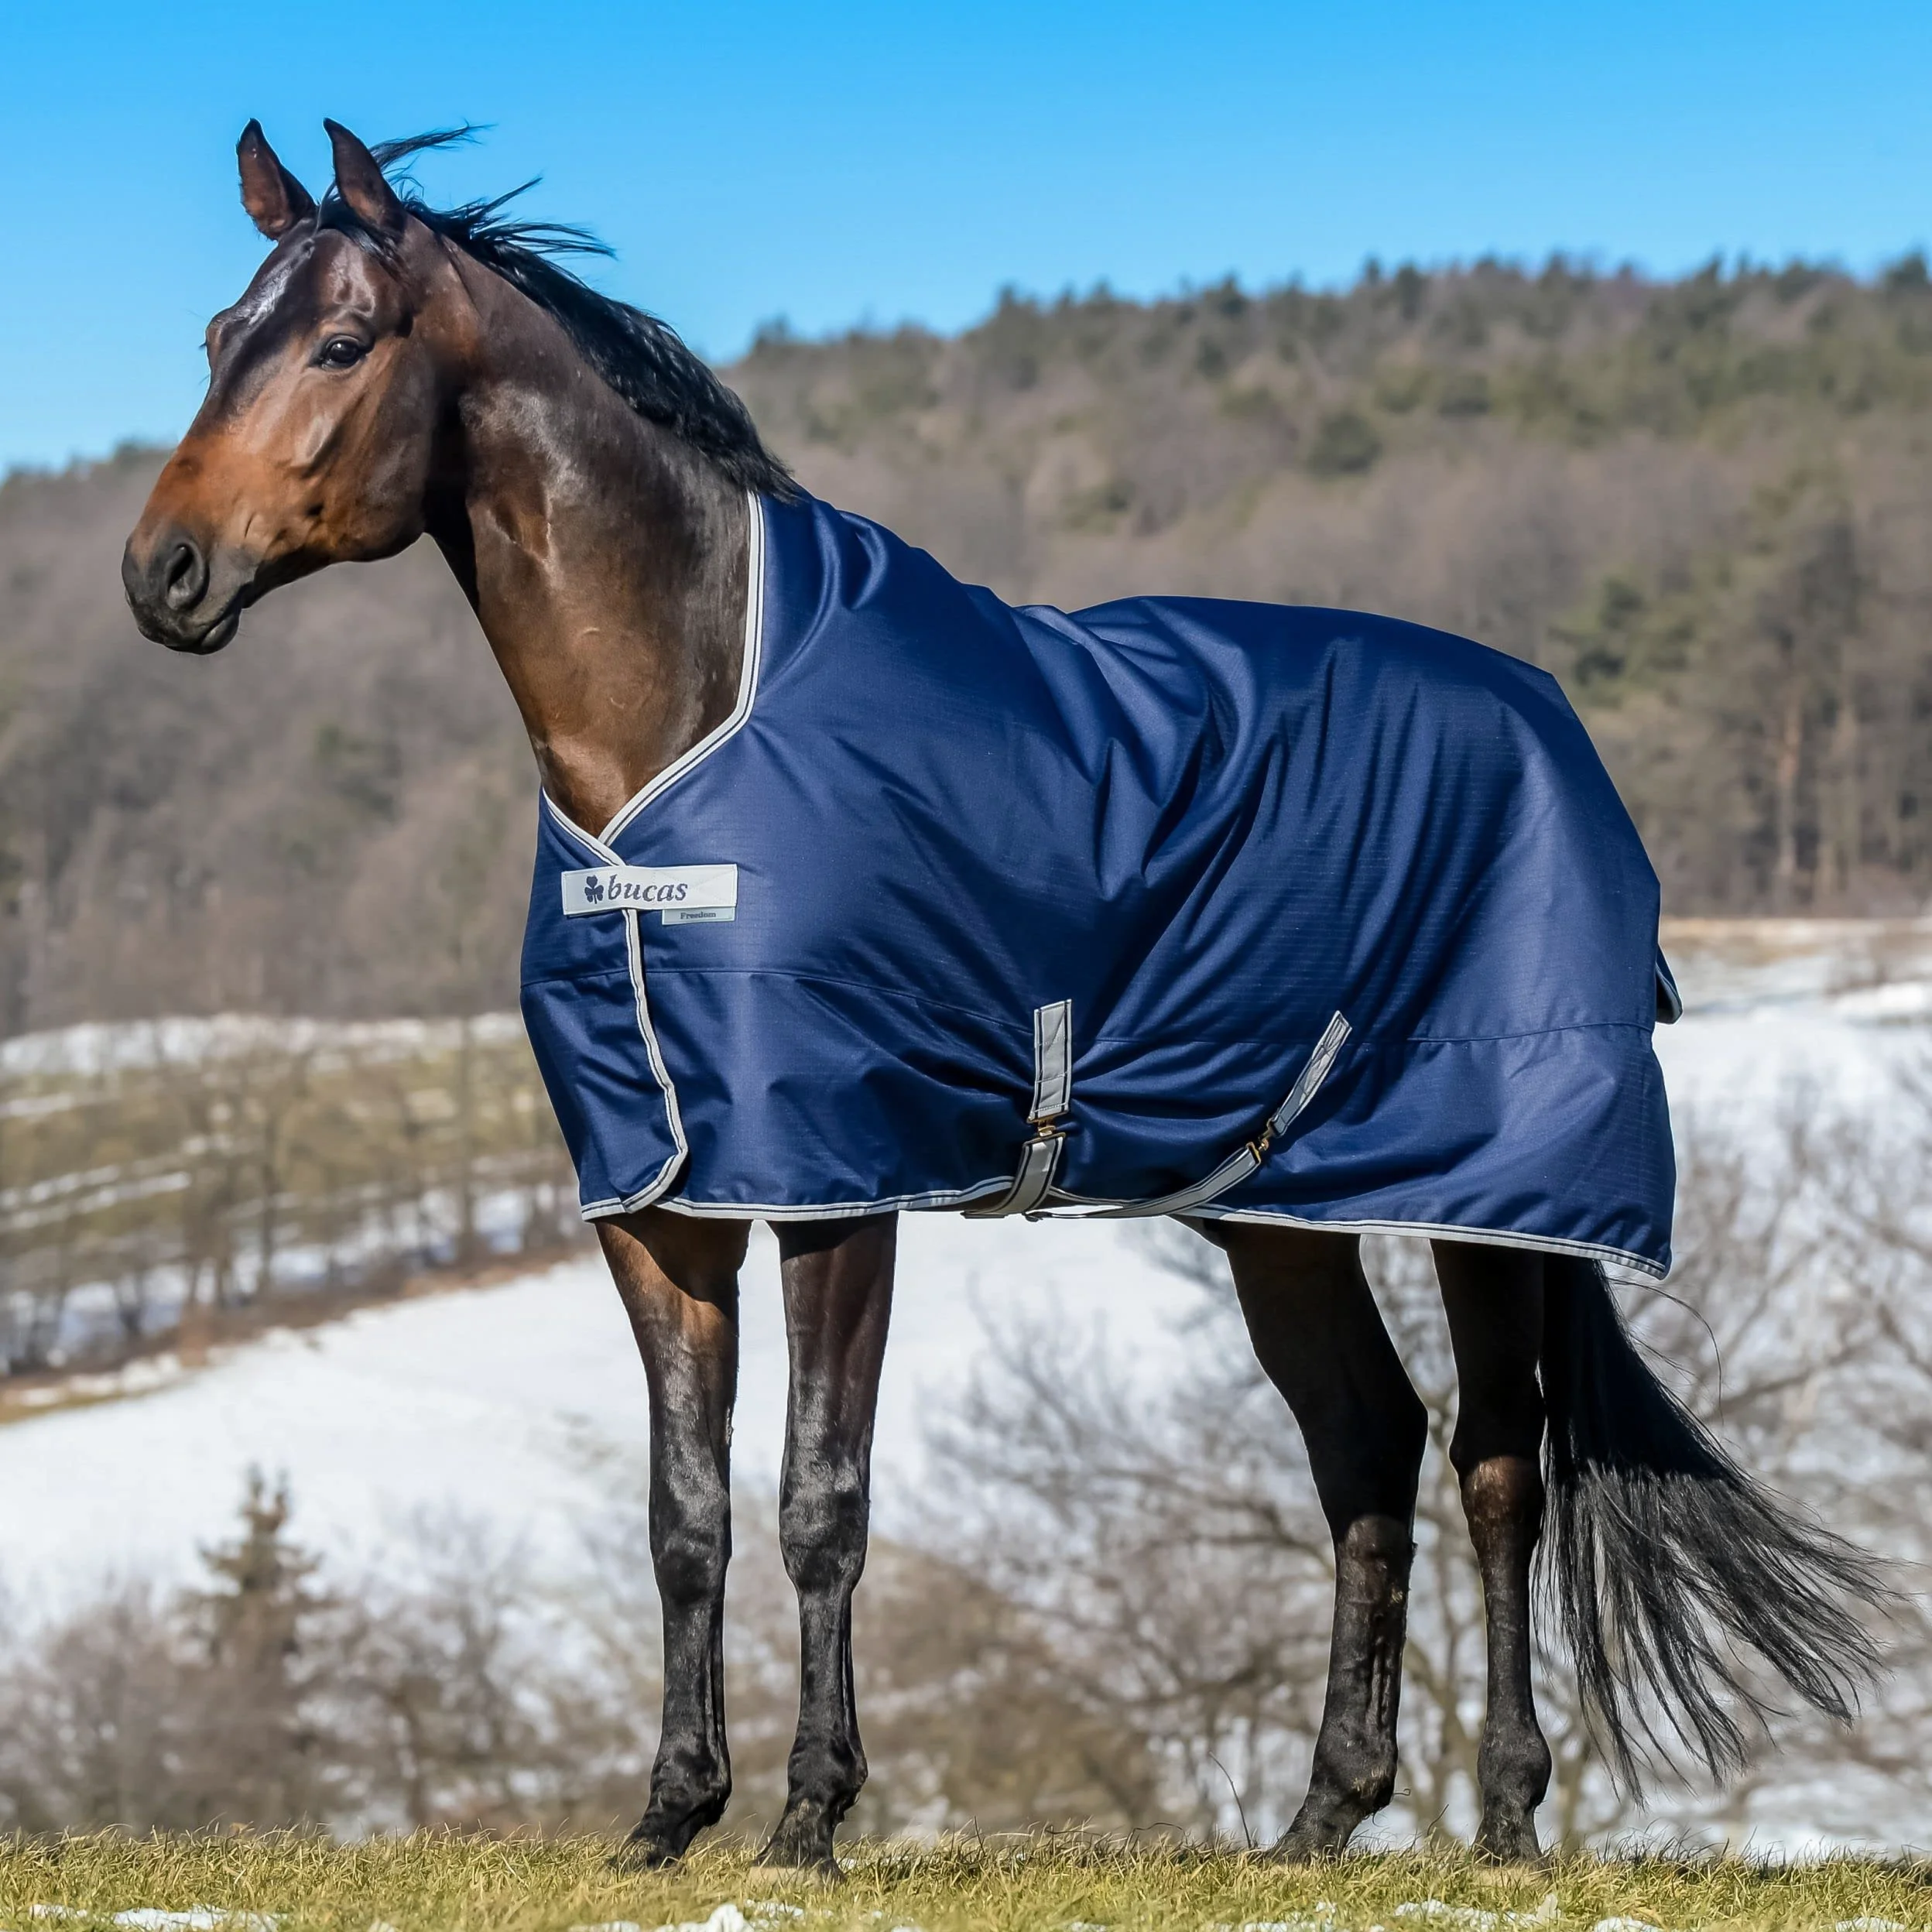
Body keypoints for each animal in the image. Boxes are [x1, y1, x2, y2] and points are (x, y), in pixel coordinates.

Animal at [122, 122, 1881, 1868]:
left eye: (342, 343)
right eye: (214, 340)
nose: (163, 573)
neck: (688, 738)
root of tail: (1549, 724)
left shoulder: (838, 1188)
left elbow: (818, 1501)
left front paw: (809, 1819)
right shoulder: (658, 1204)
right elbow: (683, 1515)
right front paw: (667, 1819)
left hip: (1492, 1197)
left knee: (1497, 1463)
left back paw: (1507, 1819)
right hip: (1278, 1211)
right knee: (1365, 1448)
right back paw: (1322, 1817)